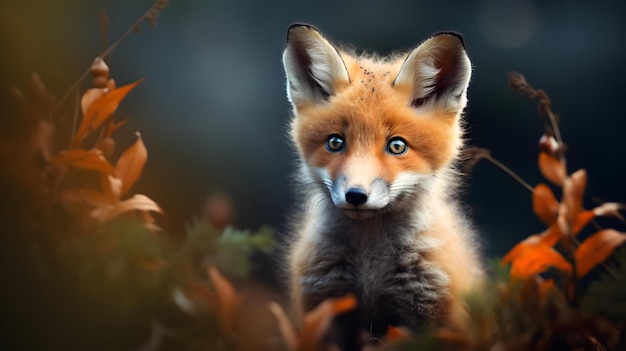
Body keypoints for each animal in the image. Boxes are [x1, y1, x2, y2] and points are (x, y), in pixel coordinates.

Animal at [282, 24, 482, 350]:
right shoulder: (323, 309)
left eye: (397, 146)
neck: (370, 267)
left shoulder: (430, 316)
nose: (356, 195)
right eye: (335, 143)